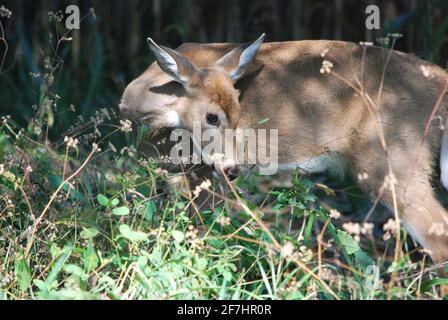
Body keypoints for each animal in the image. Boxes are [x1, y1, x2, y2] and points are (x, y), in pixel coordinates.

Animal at [119, 34, 448, 270]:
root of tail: (441, 80)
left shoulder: (203, 172)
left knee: (438, 237)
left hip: (395, 158)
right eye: (213, 116)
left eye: (238, 112)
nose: (234, 169)